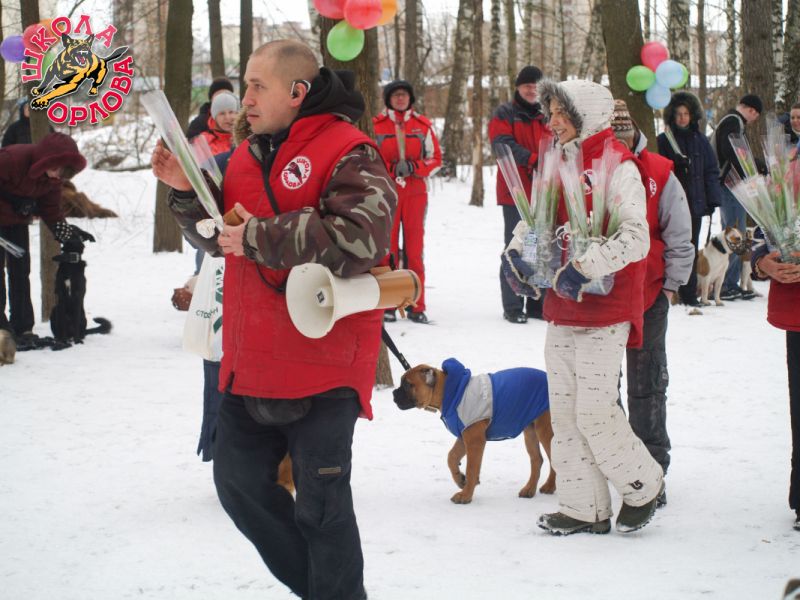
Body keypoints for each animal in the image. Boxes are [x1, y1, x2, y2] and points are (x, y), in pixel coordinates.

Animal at [394, 358, 556, 504]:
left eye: (407, 384)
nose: (394, 393)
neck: (450, 392)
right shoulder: (463, 435)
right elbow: (451, 457)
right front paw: (460, 480)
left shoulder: (474, 439)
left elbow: (471, 467)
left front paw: (465, 495)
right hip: (530, 430)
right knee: (537, 459)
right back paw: (529, 489)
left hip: (545, 429)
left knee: (554, 459)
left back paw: (550, 486)